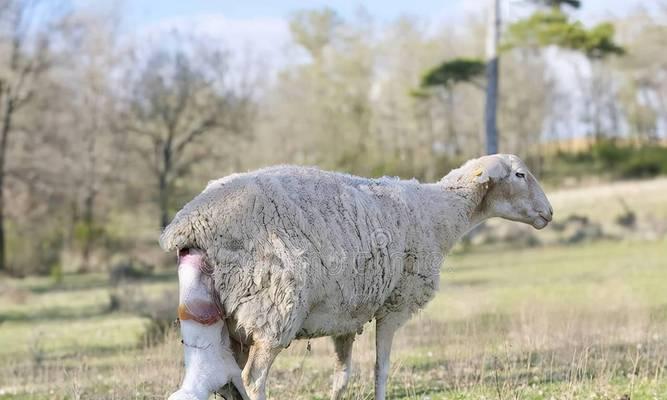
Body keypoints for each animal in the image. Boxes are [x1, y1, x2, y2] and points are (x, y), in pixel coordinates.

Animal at [160, 154, 552, 400]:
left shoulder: (346, 315)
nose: (549, 213)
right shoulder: (395, 304)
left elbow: (342, 377)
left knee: (231, 379)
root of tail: (187, 224)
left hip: (236, 320)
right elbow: (381, 368)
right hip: (274, 308)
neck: (438, 214)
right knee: (252, 378)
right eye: (520, 175)